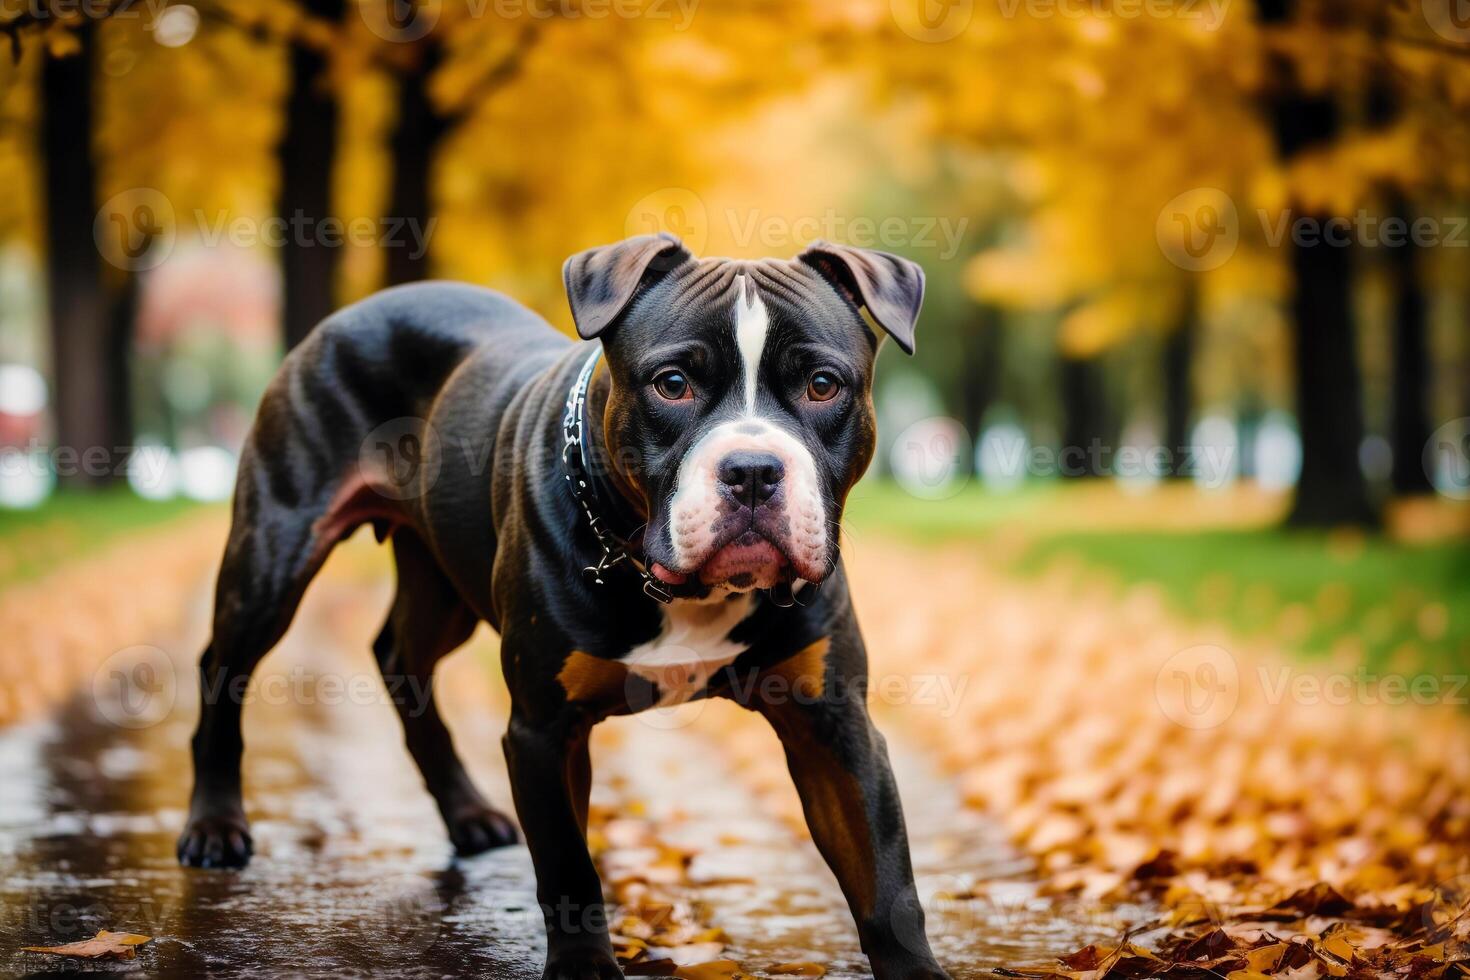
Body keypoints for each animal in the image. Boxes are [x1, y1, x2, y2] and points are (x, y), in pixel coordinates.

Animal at [177, 235, 952, 980]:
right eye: (673, 384)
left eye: (823, 385)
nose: (754, 471)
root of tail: (363, 307)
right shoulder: (544, 731)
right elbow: (570, 870)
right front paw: (584, 966)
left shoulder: (836, 729)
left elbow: (885, 881)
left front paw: (915, 968)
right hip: (274, 552)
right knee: (222, 665)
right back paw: (214, 827)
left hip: (444, 584)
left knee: (400, 655)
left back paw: (466, 813)